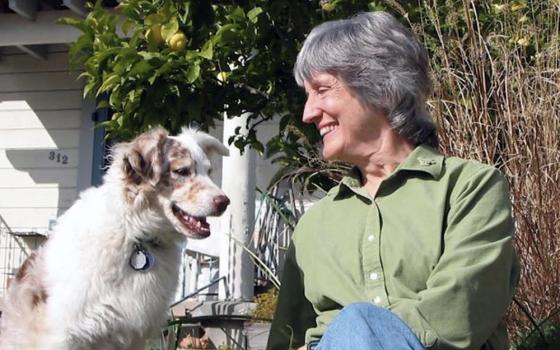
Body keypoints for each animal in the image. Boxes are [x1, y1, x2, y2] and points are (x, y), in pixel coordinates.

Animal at [0, 127, 230, 348]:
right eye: (182, 171)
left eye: (209, 171)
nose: (225, 202)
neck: (133, 233)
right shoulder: (63, 333)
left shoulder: (133, 334)